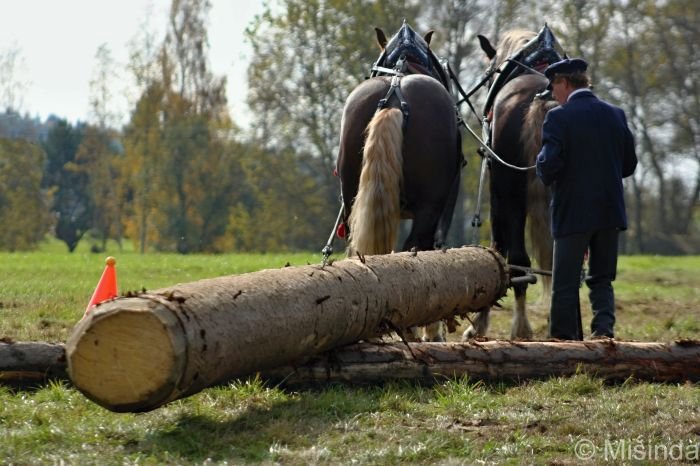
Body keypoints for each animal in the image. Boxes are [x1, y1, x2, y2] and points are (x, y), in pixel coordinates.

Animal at [462, 25, 568, 338]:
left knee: (518, 260)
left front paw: (480, 323)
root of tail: (542, 96)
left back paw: (520, 327)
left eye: (489, 71)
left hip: (510, 190)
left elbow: (497, 250)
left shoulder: (497, 191)